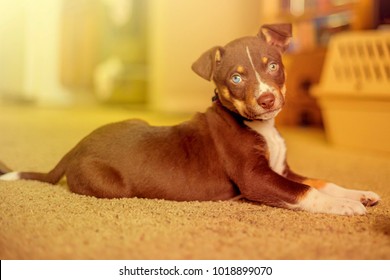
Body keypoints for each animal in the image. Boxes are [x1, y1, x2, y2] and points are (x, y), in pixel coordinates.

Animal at [0, 24, 380, 217]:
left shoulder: (281, 168)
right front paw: (344, 206)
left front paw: (360, 194)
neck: (261, 127)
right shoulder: (256, 178)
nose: (267, 100)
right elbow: (305, 191)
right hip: (110, 186)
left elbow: (321, 181)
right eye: (236, 78)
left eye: (273, 65)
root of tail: (75, 148)